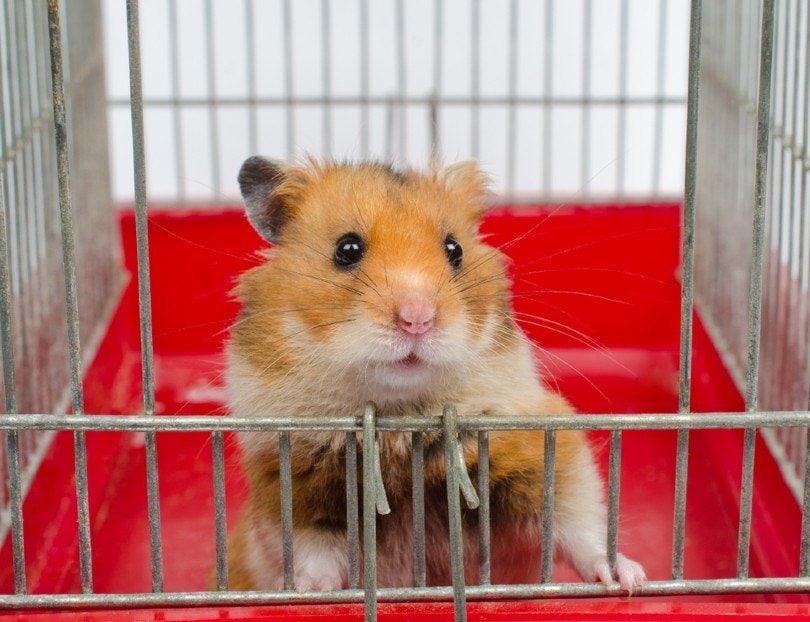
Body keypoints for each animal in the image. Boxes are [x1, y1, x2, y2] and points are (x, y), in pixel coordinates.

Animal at [224, 157, 646, 592]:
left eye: (454, 249)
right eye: (347, 249)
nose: (417, 319)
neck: (401, 418)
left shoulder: (544, 459)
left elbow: (577, 523)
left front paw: (626, 580)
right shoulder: (296, 493)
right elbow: (315, 554)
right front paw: (299, 590)